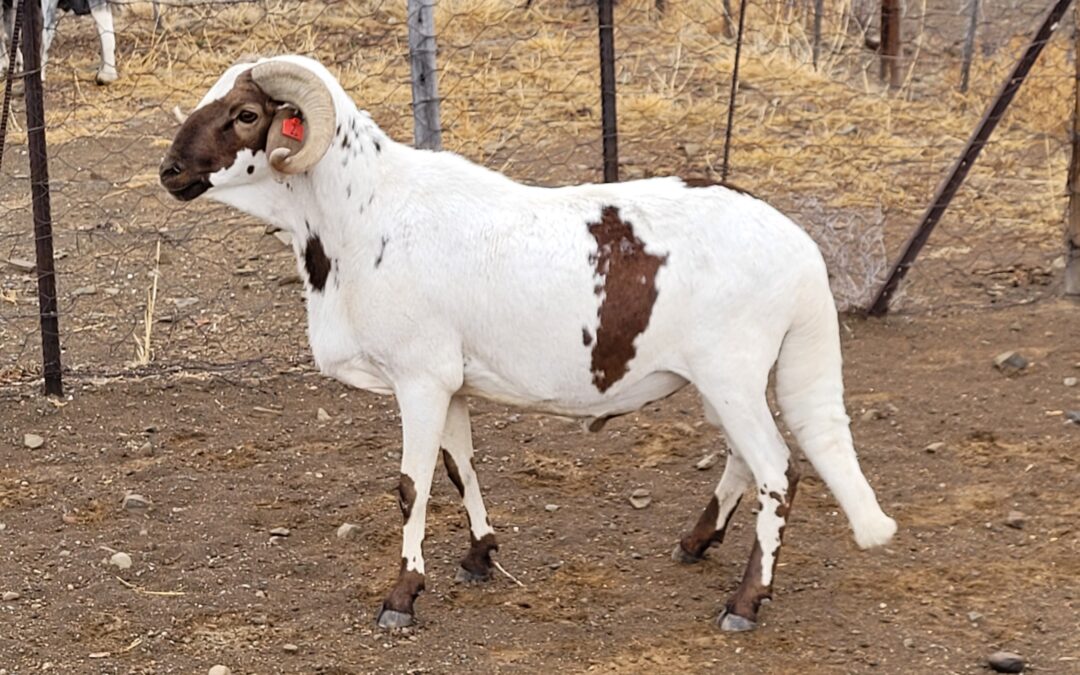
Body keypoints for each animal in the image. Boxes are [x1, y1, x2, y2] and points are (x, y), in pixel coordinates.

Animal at [159, 55, 898, 632]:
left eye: (246, 114)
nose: (169, 171)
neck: (365, 215)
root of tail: (802, 251)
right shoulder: (450, 380)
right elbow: (459, 468)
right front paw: (479, 557)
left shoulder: (419, 378)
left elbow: (410, 484)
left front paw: (401, 596)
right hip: (720, 381)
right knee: (746, 461)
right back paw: (695, 541)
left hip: (733, 373)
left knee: (777, 470)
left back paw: (744, 602)